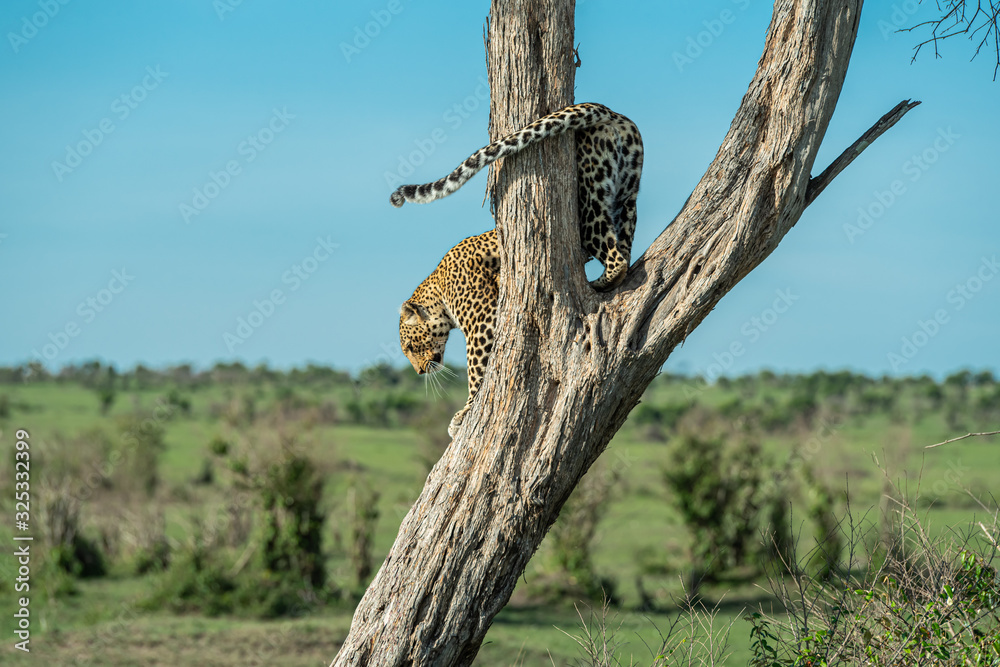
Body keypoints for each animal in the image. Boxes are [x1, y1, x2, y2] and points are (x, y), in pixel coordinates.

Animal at [395, 103, 643, 437]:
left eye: (411, 345)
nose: (420, 372)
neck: (439, 289)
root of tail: (609, 110)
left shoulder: (482, 322)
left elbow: (476, 370)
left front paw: (464, 413)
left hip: (590, 196)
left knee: (613, 256)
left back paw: (596, 284)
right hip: (626, 194)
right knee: (623, 250)